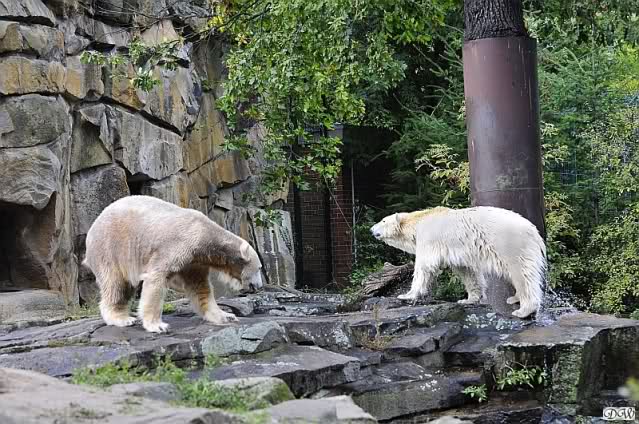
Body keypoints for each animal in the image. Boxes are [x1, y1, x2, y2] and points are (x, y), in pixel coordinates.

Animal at [83, 195, 264, 333]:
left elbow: (200, 288)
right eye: (259, 268)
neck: (204, 235)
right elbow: (156, 278)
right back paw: (122, 319)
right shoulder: (176, 246)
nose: (259, 286)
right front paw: (158, 325)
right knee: (116, 284)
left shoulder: (194, 261)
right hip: (111, 248)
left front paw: (226, 316)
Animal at [370, 206, 546, 318]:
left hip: (510, 243)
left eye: (383, 221)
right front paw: (468, 299)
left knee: (520, 272)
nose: (371, 229)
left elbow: (424, 265)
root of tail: (533, 230)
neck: (420, 220)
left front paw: (407, 295)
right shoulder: (459, 251)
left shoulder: (429, 239)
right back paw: (514, 298)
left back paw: (524, 310)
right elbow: (467, 270)